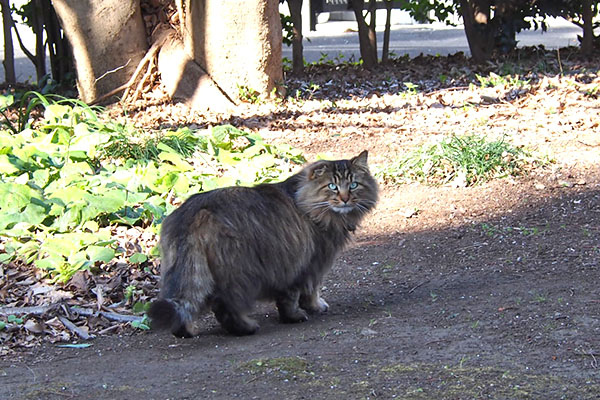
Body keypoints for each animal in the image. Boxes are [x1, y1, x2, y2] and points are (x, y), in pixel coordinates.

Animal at [148, 150, 378, 338]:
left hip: (181, 273)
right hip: (239, 272)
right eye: (332, 186)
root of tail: (194, 213)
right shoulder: (309, 262)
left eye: (354, 185)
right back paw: (247, 327)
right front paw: (303, 312)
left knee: (187, 304)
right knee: (224, 307)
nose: (345, 198)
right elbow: (304, 292)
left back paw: (187, 331)